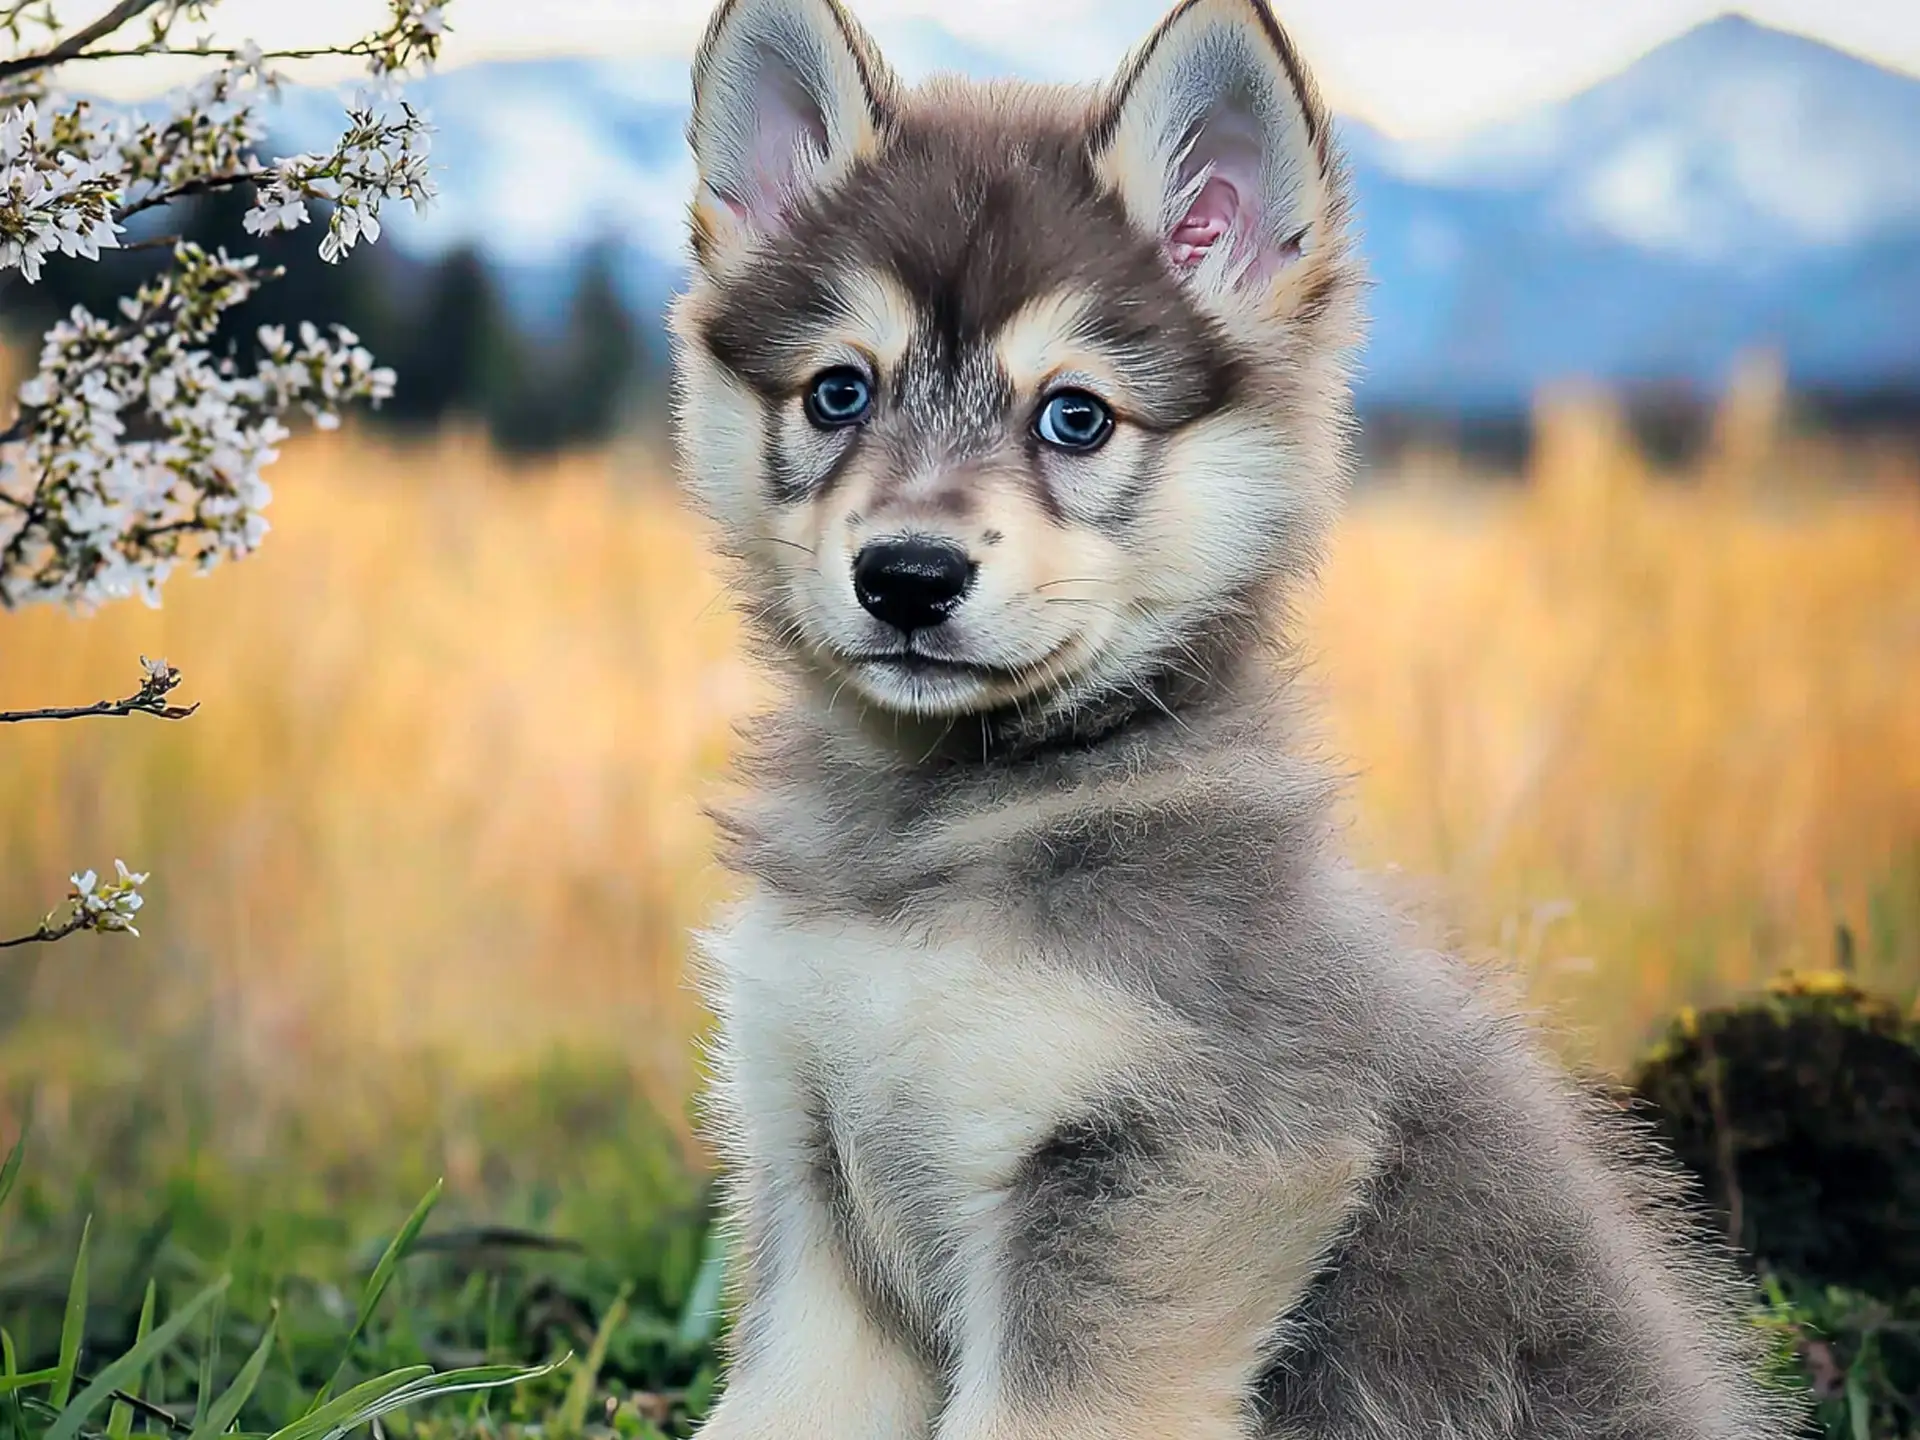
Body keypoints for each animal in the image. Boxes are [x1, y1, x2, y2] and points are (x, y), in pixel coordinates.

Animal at [668, 2, 1804, 1440]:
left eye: (1075, 415)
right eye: (838, 393)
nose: (908, 577)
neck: (932, 835)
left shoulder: (1171, 1167)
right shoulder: (812, 1166)